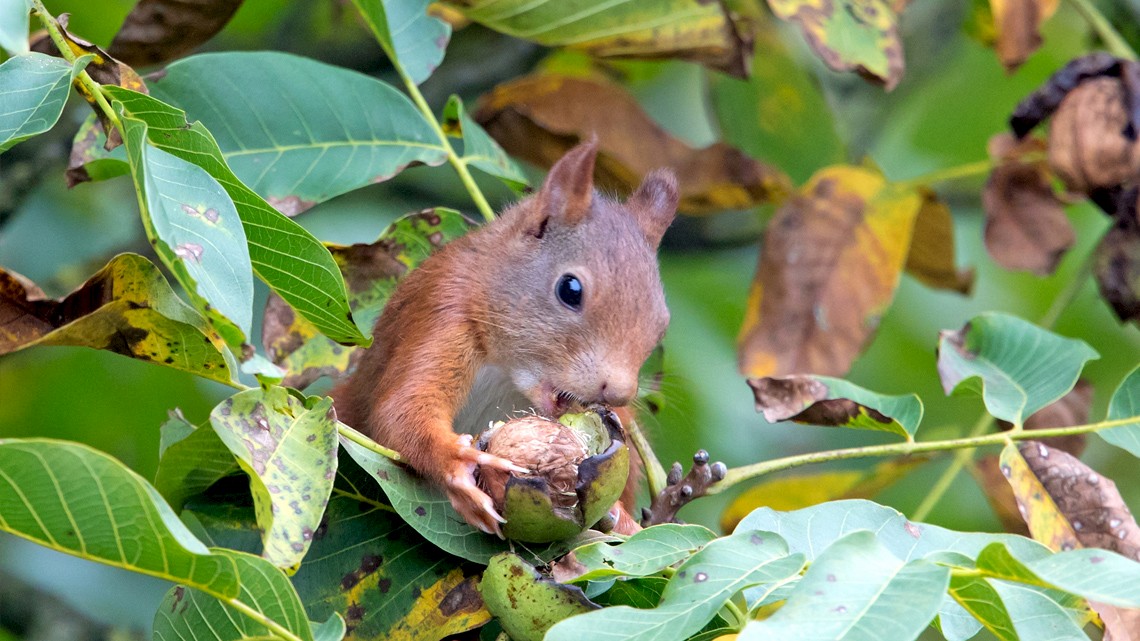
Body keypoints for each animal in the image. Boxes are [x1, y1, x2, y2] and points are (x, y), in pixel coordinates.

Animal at [332, 139, 679, 533]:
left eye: (662, 323)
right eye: (570, 289)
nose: (619, 392)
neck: (509, 374)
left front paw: (622, 517)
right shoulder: (441, 312)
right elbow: (401, 410)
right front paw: (456, 462)